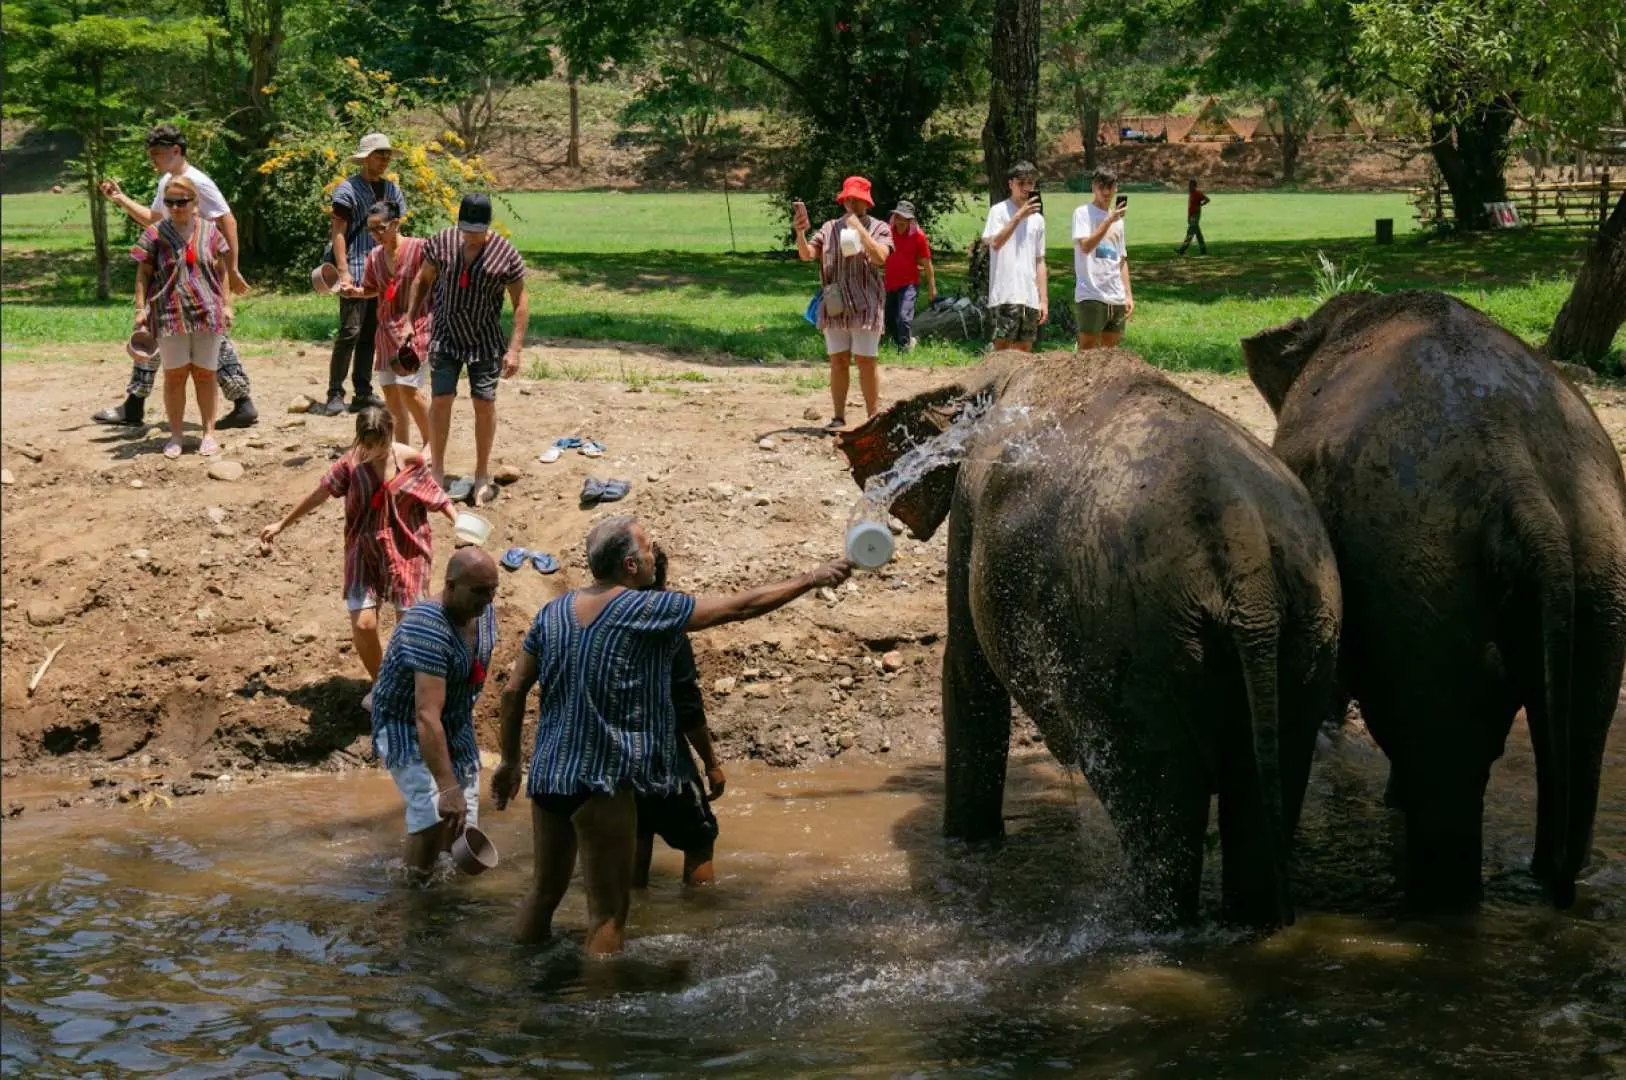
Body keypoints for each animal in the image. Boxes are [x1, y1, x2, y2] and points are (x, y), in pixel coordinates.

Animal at [838, 350, 1343, 927]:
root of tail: (1245, 553)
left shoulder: (969, 507)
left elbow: (969, 670)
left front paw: (965, 846)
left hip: (1131, 646)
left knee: (1156, 803)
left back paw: (1154, 928)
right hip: (1306, 628)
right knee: (1264, 784)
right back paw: (1255, 925)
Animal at [1242, 290, 1626, 910]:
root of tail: (1517, 470)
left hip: (1420, 573)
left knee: (1447, 757)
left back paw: (1435, 901)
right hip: (1597, 552)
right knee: (1579, 733)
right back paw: (1554, 879)